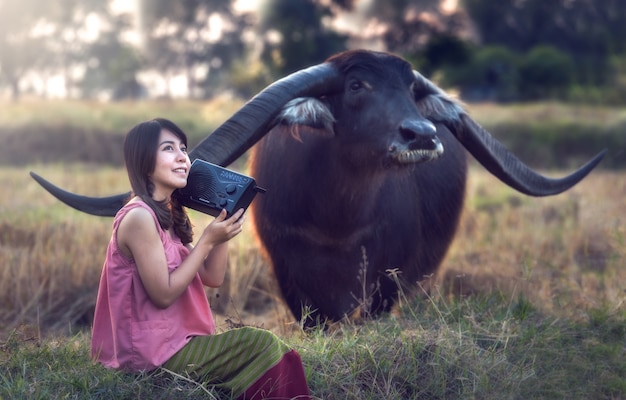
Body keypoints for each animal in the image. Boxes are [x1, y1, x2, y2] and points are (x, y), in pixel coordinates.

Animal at [31, 49, 604, 328]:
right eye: (356, 84)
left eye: (411, 90)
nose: (422, 133)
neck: (337, 222)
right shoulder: (293, 280)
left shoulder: (387, 282)